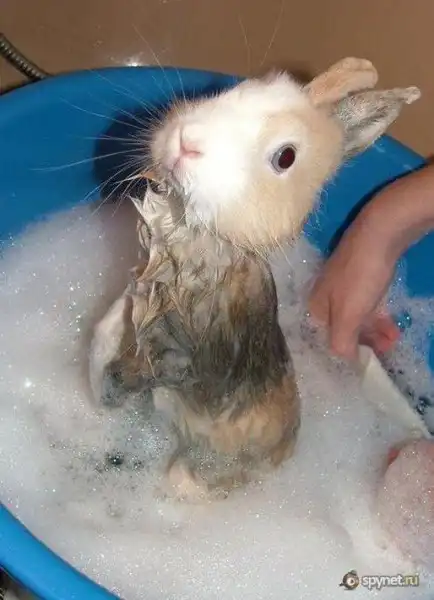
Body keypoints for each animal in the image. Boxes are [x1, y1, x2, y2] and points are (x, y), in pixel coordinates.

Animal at [89, 57, 420, 502]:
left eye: (286, 157)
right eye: (239, 89)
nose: (187, 141)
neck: (199, 237)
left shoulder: (175, 355)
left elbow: (136, 372)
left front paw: (107, 381)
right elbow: (112, 320)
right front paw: (103, 347)